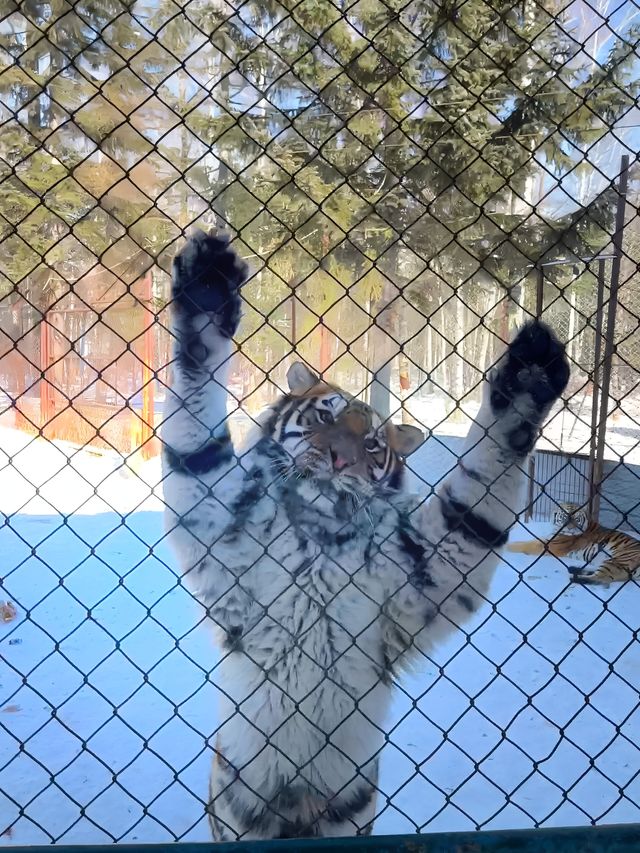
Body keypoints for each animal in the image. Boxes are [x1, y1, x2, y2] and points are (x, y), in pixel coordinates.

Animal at [510, 516, 640, 584]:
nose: (568, 526)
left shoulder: (550, 545)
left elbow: (523, 545)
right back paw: (574, 569)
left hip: (618, 559)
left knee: (600, 579)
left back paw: (574, 578)